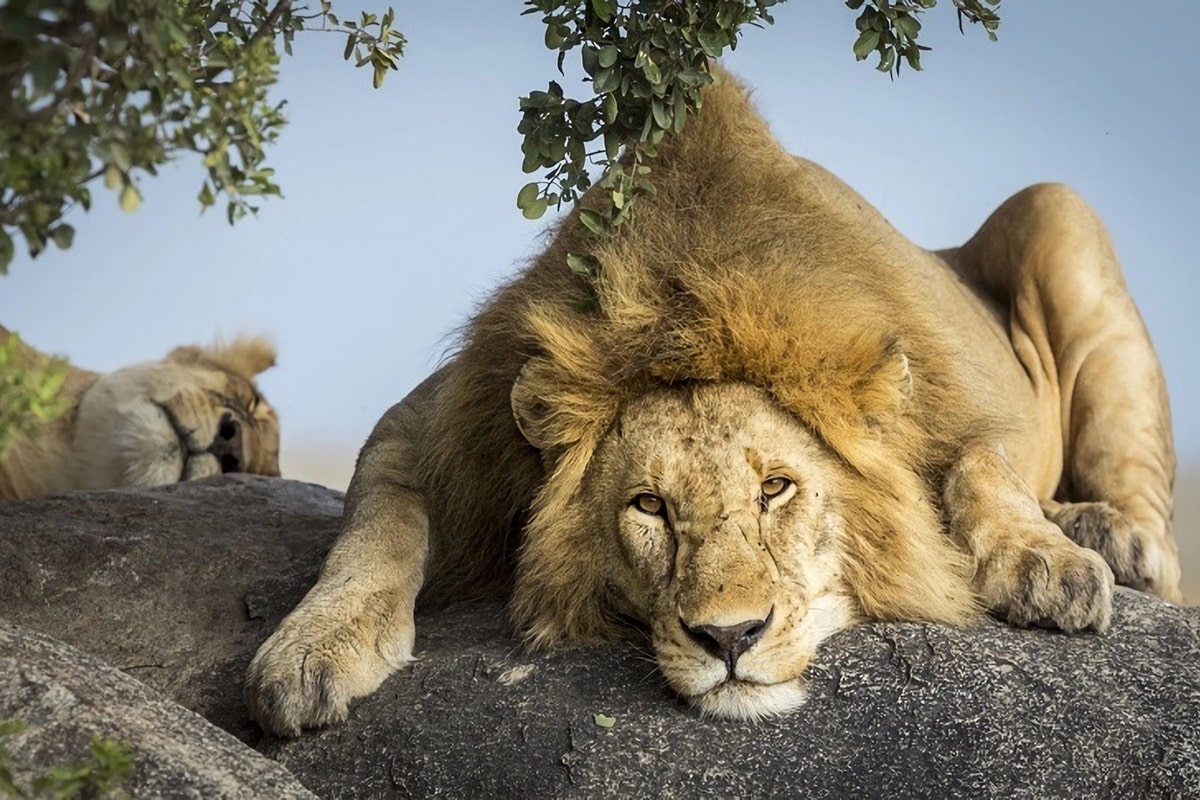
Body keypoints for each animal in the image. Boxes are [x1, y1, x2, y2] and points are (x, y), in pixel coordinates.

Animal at [246, 71, 1180, 734]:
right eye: (649, 506)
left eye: (776, 489)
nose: (730, 640)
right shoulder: (432, 427)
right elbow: (376, 527)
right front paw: (309, 651)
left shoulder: (953, 400)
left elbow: (983, 464)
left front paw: (1043, 563)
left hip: (1059, 210)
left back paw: (1111, 538)